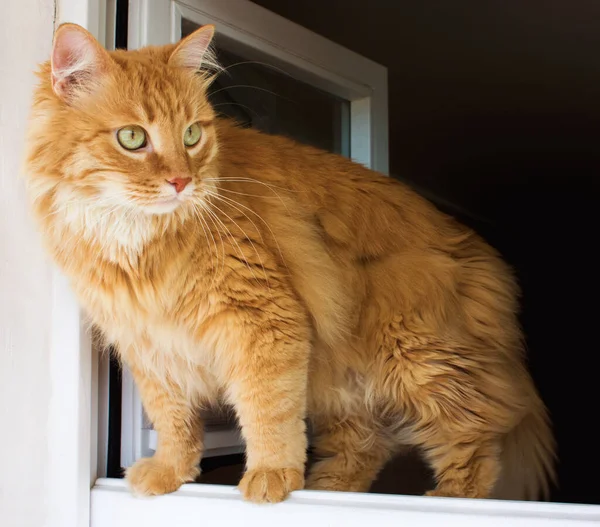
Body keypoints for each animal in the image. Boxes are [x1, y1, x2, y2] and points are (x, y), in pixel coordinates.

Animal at [25, 23, 556, 504]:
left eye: (192, 135)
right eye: (133, 138)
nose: (181, 181)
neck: (134, 236)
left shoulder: (264, 319)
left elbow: (269, 411)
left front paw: (271, 476)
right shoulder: (149, 344)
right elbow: (173, 420)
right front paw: (171, 472)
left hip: (419, 360)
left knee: (475, 442)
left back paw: (448, 499)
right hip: (344, 380)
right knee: (364, 448)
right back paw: (327, 490)